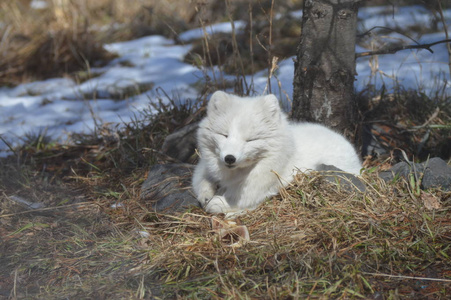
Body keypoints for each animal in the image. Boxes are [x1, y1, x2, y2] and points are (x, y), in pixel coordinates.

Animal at [192, 91, 362, 213]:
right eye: (224, 135)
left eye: (251, 140)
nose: (229, 158)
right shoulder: (204, 165)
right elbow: (200, 179)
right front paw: (206, 193)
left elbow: (244, 196)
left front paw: (219, 202)